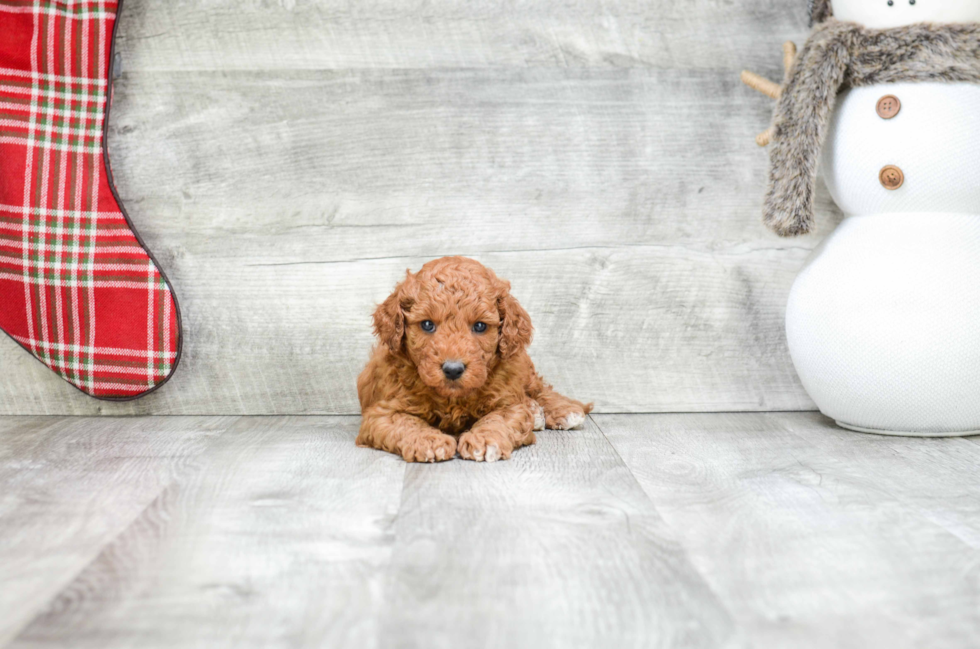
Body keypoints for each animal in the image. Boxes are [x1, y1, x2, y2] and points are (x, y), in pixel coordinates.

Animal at [358, 256, 592, 464]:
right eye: (427, 324)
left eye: (480, 326)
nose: (453, 369)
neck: (452, 399)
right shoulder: (381, 413)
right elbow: (405, 423)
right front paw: (429, 441)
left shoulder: (509, 404)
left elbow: (498, 419)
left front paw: (485, 439)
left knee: (539, 388)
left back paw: (562, 410)